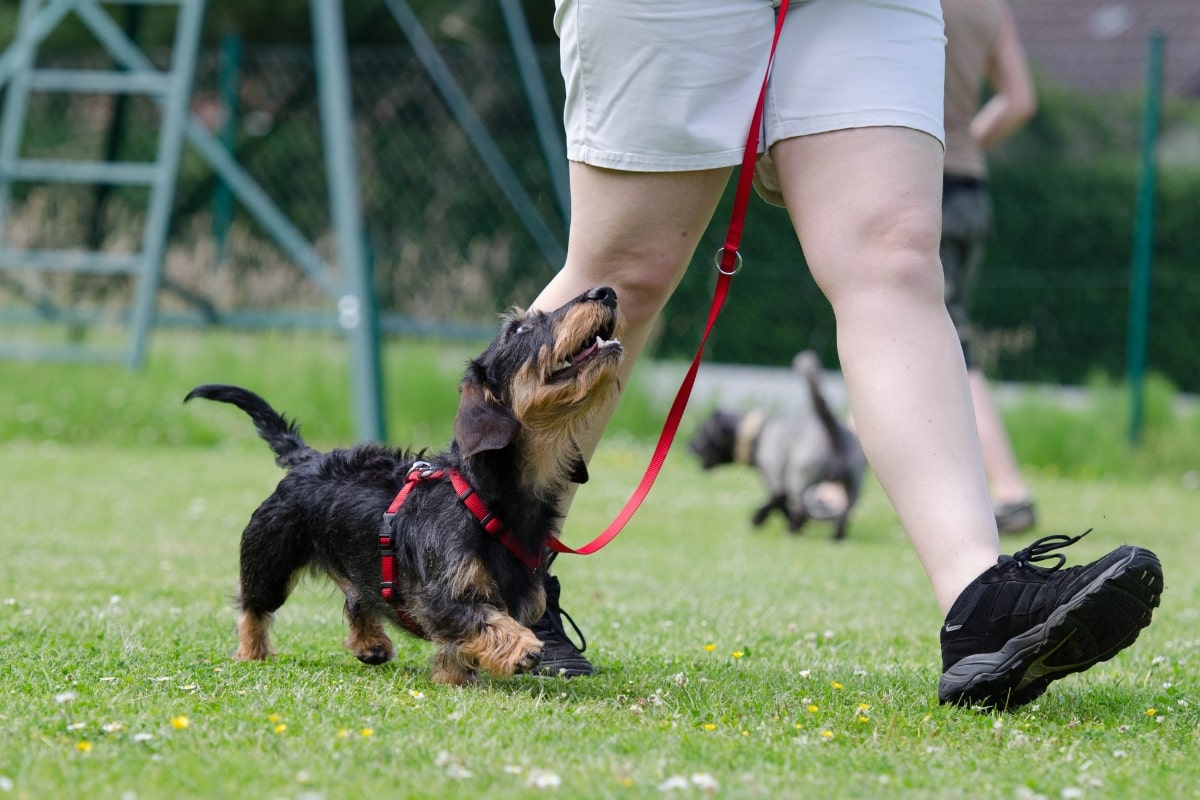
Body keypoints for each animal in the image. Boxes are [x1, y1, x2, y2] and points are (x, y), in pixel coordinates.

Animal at [184, 284, 628, 686]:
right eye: (520, 329)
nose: (605, 292)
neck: (484, 497)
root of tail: (308, 459)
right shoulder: (440, 598)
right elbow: (483, 619)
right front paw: (520, 647)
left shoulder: (523, 596)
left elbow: (464, 642)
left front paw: (454, 676)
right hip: (270, 560)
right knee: (253, 606)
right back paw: (252, 651)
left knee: (357, 598)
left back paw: (370, 643)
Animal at [691, 352, 868, 542]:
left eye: (702, 433)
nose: (689, 446)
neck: (758, 432)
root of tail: (834, 430)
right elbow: (780, 504)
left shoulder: (775, 479)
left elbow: (778, 502)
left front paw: (758, 519)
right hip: (853, 484)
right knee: (845, 512)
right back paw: (835, 537)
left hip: (799, 478)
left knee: (800, 506)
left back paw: (792, 529)